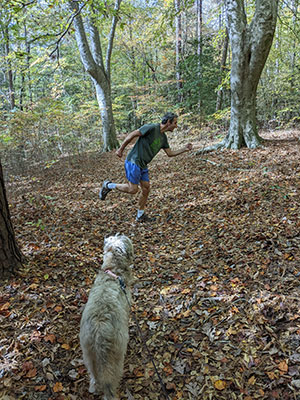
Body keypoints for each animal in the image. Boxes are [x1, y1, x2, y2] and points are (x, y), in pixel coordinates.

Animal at [81, 234, 135, 400]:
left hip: (88, 355)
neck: (112, 271)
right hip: (115, 357)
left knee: (94, 378)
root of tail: (99, 332)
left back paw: (94, 388)